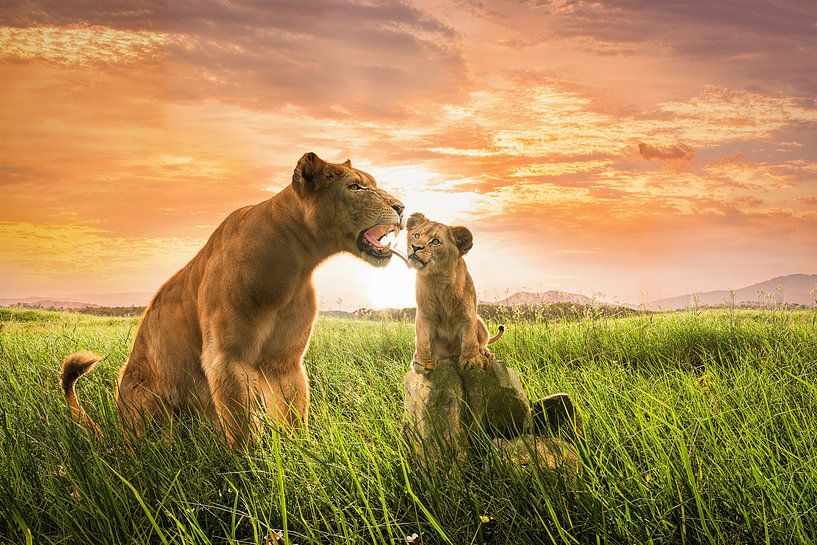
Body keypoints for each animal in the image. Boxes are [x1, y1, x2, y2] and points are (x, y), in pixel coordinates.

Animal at [61, 152, 405, 446]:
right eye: (355, 187)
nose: (401, 207)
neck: (297, 259)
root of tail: (118, 435)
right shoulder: (227, 357)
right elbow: (242, 428)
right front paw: (253, 470)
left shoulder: (284, 360)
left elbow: (294, 415)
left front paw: (300, 454)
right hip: (150, 400)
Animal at [405, 213, 504, 373]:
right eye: (416, 235)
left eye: (435, 241)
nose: (415, 247)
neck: (437, 279)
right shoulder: (424, 313)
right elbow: (422, 338)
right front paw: (422, 362)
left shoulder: (468, 312)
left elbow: (470, 337)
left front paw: (471, 361)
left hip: (479, 320)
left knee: (482, 341)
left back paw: (484, 352)